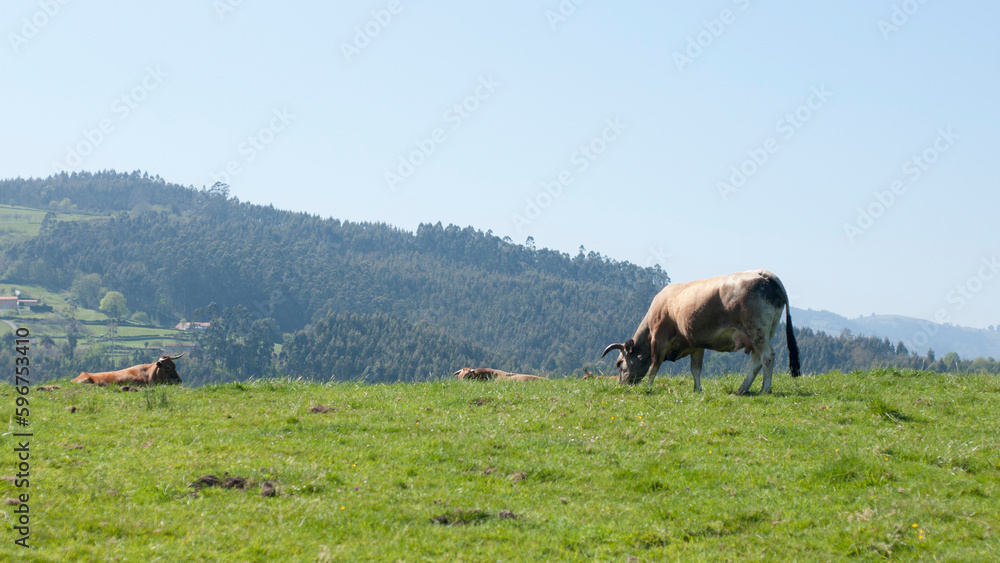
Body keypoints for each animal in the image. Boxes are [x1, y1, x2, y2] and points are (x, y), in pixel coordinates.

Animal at [602, 270, 800, 395]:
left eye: (619, 363)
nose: (621, 386)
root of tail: (765, 273)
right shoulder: (696, 344)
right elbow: (695, 369)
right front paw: (697, 390)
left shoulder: (659, 339)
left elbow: (654, 366)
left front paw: (648, 388)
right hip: (763, 333)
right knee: (756, 361)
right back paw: (742, 389)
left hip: (757, 331)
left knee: (767, 356)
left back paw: (765, 388)